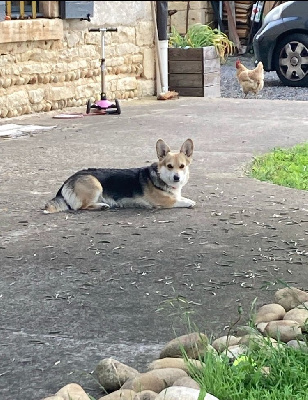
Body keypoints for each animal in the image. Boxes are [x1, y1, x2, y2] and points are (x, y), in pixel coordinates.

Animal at [44, 138, 195, 214]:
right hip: (95, 184)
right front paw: (190, 203)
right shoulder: (164, 201)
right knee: (81, 207)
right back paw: (102, 206)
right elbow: (183, 201)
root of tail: (67, 181)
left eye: (182, 166)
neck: (159, 177)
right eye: (169, 166)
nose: (177, 178)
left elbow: (181, 198)